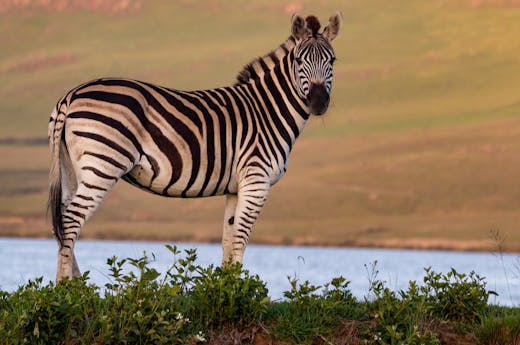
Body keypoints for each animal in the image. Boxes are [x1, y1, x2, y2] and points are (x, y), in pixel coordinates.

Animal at [47, 12, 342, 280]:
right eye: (299, 60)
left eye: (332, 60)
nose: (318, 101)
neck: (267, 110)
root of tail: (71, 95)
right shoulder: (256, 181)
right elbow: (240, 240)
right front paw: (240, 291)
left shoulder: (235, 188)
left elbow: (228, 240)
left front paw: (226, 289)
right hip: (103, 164)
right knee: (71, 220)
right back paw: (66, 287)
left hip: (72, 166)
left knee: (62, 219)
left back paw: (79, 287)